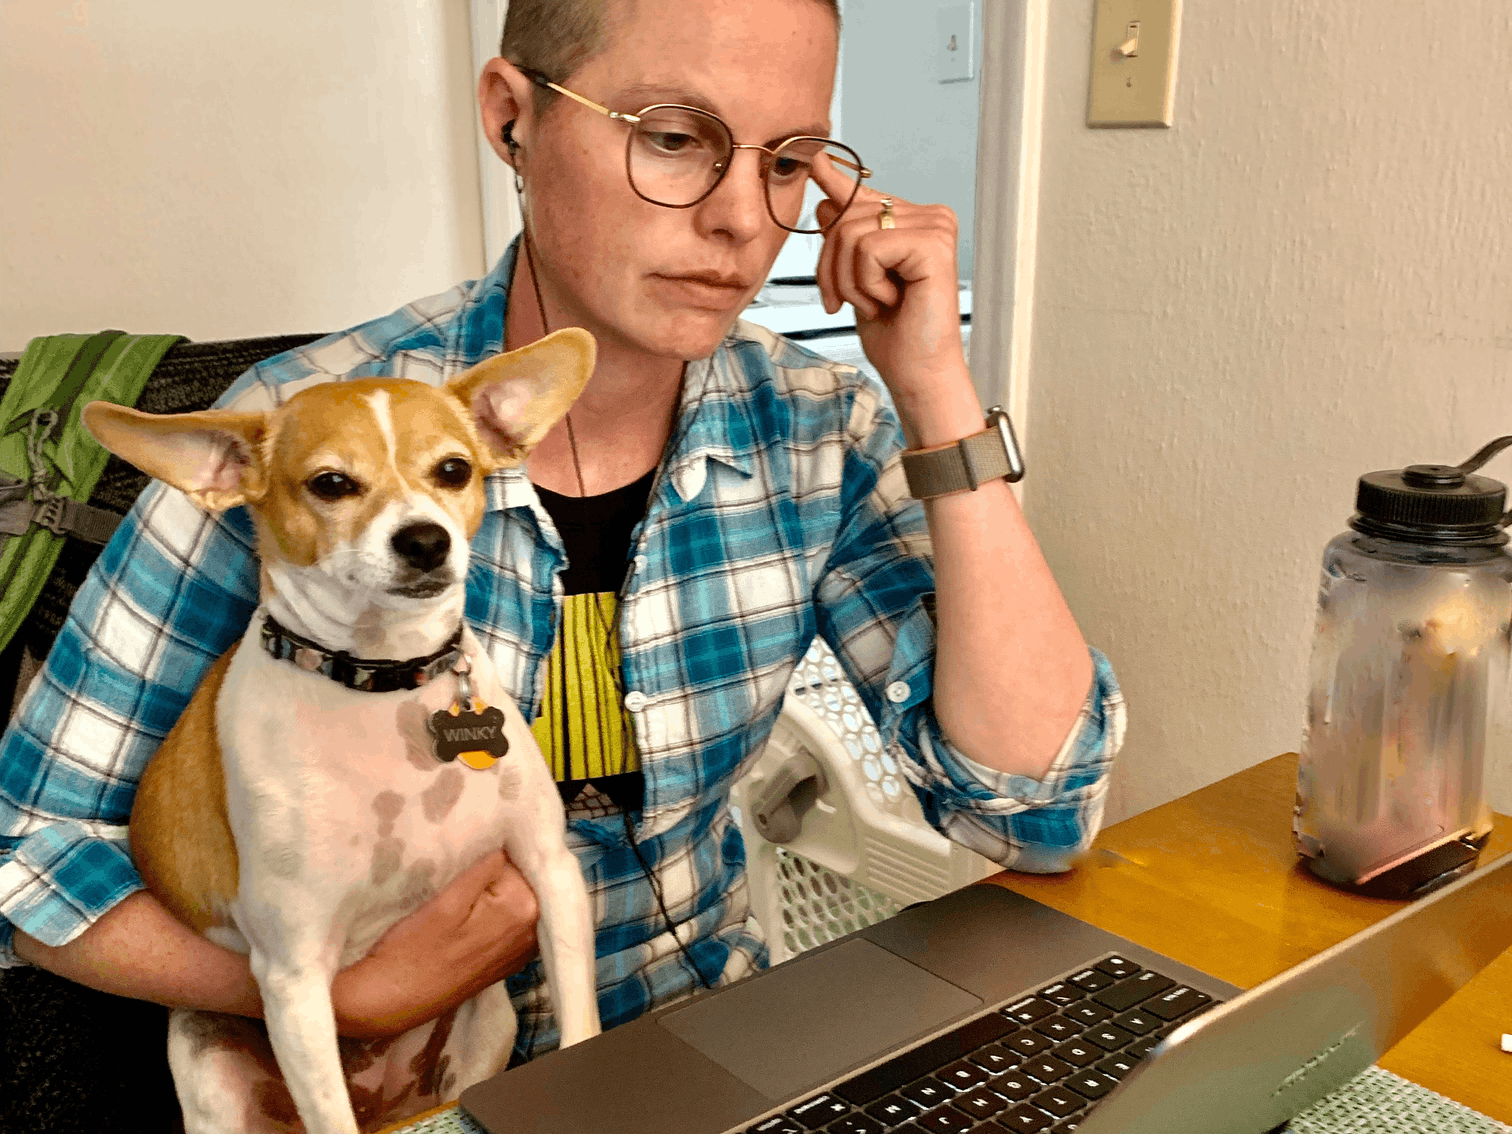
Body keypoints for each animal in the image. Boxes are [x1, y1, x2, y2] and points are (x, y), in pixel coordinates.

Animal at [82, 326, 601, 1130]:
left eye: (454, 470)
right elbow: (330, 1117)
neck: (387, 679)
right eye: (330, 484)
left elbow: (581, 1028)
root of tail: (385, 1099)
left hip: (488, 1025)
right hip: (212, 1072)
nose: (425, 539)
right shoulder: (293, 979)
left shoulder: (551, 872)